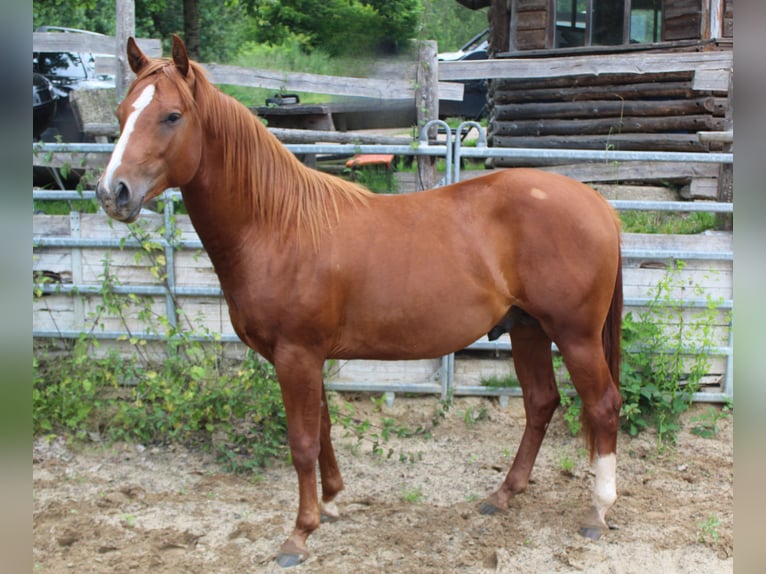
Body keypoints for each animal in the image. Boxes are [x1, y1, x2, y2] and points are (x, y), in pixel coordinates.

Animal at [96, 37, 624, 572]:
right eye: (122, 113)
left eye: (172, 116)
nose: (111, 192)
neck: (278, 225)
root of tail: (599, 206)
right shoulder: (309, 358)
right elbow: (324, 429)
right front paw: (331, 502)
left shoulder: (296, 355)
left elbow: (302, 442)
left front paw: (299, 534)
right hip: (527, 328)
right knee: (541, 402)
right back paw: (503, 494)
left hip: (574, 336)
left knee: (603, 405)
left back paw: (597, 511)